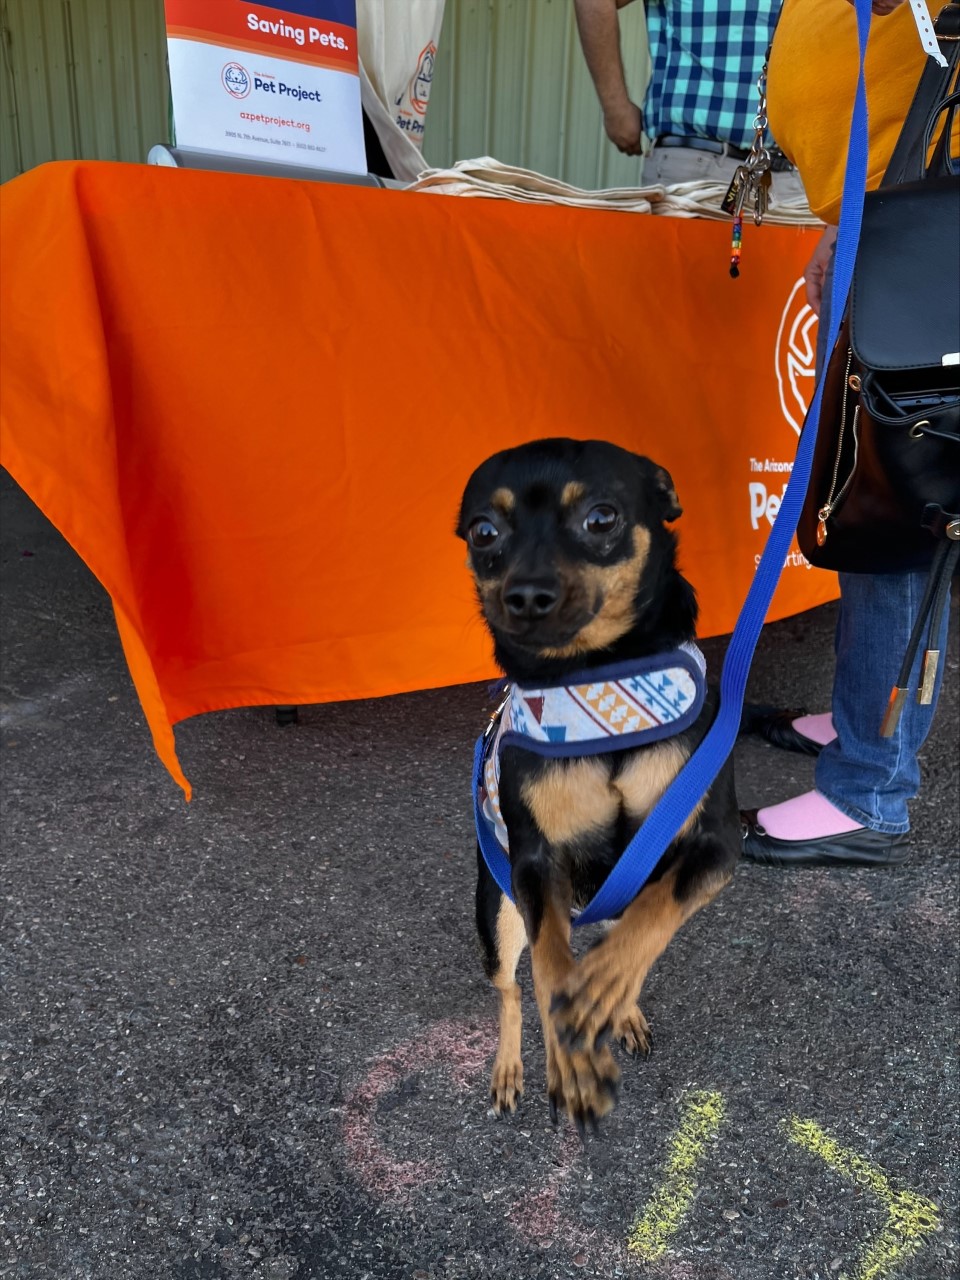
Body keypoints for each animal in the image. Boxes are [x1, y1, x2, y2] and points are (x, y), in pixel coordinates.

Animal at [455, 437, 737, 1131]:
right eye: (483, 532)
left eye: (601, 518)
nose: (527, 594)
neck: (598, 680)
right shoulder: (534, 864)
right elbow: (552, 968)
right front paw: (571, 1057)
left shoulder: (714, 844)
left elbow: (650, 921)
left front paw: (605, 994)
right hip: (497, 916)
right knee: (512, 988)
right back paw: (512, 1066)